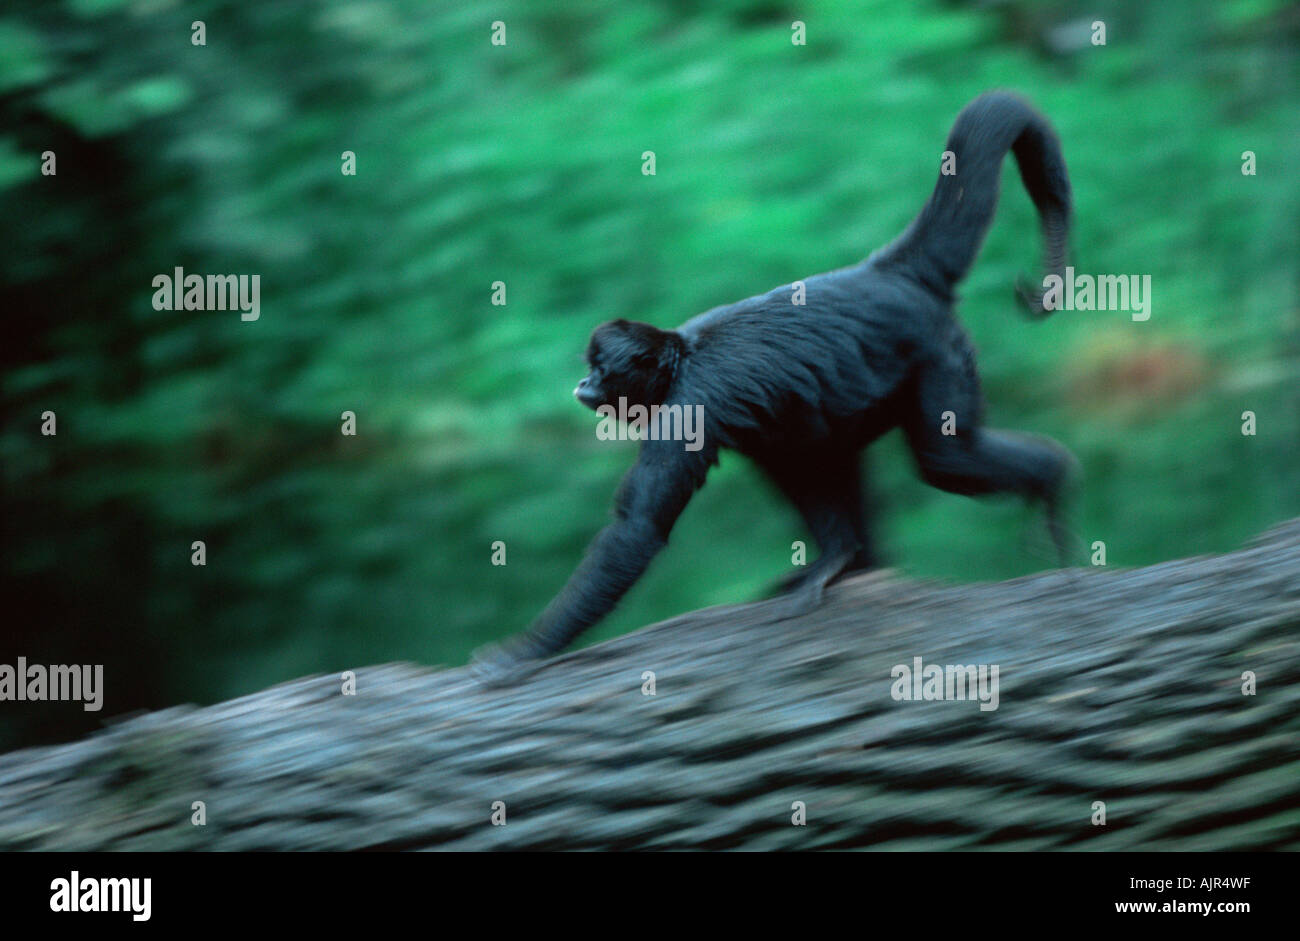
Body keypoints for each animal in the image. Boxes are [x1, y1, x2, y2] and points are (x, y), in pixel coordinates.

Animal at [472, 91, 1078, 686]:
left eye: (600, 369)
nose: (583, 383)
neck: (682, 357)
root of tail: (891, 272)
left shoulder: (690, 406)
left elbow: (636, 530)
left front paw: (524, 651)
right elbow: (798, 467)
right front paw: (841, 557)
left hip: (934, 351)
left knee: (943, 460)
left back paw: (1052, 477)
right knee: (820, 453)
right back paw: (853, 561)